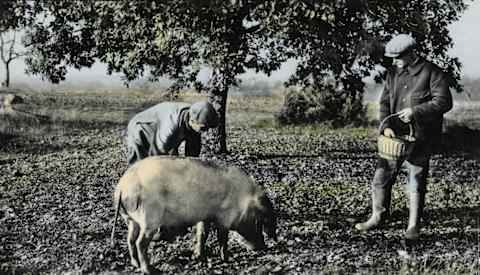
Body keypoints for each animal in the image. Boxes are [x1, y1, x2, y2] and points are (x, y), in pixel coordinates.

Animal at [108, 156, 274, 274]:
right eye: (259, 223)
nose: (264, 248)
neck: (242, 201)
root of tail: (122, 187)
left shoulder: (205, 217)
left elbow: (202, 235)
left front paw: (198, 256)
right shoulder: (224, 218)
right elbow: (222, 239)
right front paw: (226, 259)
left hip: (131, 220)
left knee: (130, 239)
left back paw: (135, 264)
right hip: (149, 218)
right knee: (140, 243)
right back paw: (151, 270)